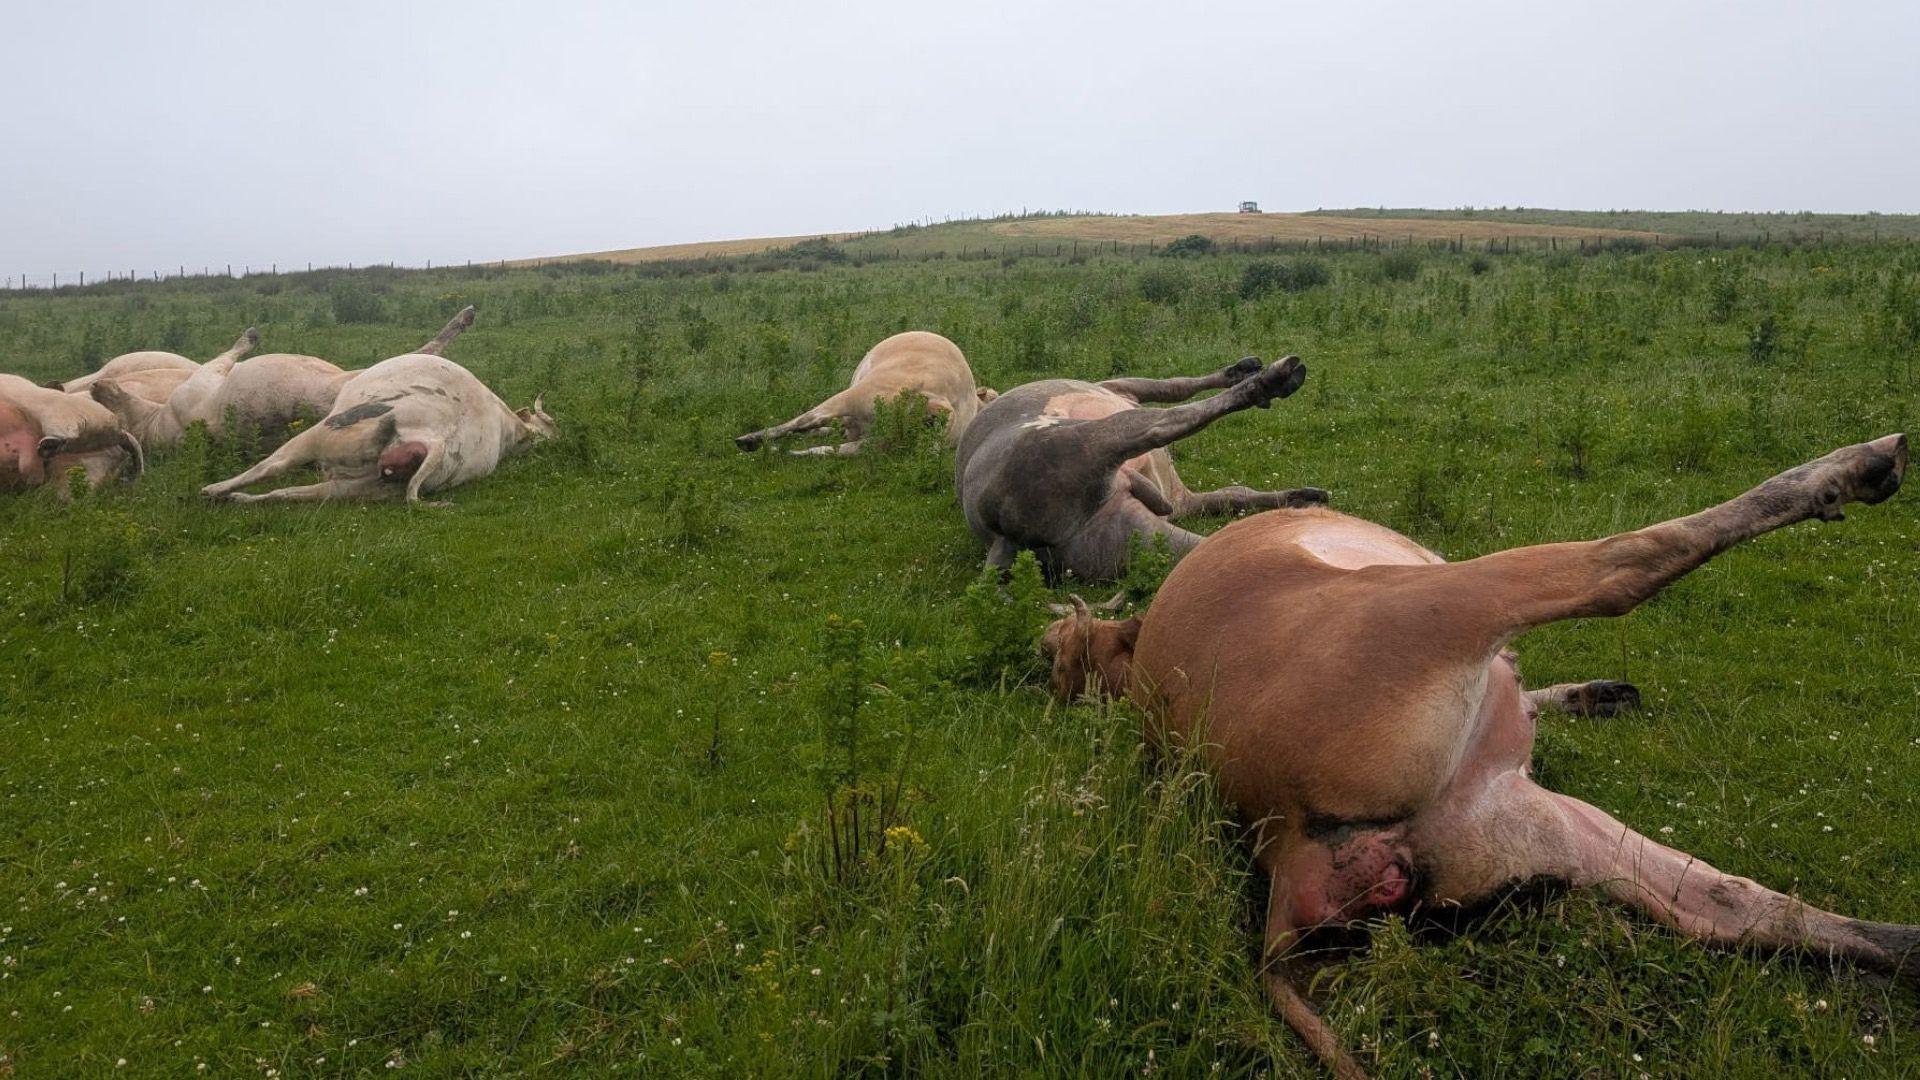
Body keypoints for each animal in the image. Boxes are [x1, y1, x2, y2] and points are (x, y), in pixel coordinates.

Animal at [91, 308, 475, 450]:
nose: (96, 387)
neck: (155, 420)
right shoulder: (206, 375)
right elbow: (231, 352)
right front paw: (250, 337)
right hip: (352, 380)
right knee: (423, 354)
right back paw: (462, 318)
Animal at [201, 350, 553, 505]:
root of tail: (436, 439)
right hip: (363, 486)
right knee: (287, 493)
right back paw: (240, 499)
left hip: (328, 432)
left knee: (271, 467)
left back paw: (215, 490)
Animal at [957, 354, 1328, 583]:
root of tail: (1006, 540)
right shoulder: (1125, 391)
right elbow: (1175, 388)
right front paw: (1248, 374)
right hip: (1099, 438)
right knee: (1167, 422)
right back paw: (1275, 379)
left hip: (1117, 540)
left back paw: (1304, 499)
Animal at [1039, 434, 1911, 1078]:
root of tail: (1283, 846)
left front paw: (1592, 694)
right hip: (1456, 601)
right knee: (1628, 561)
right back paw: (1857, 466)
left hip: (1524, 821)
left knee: (1746, 909)